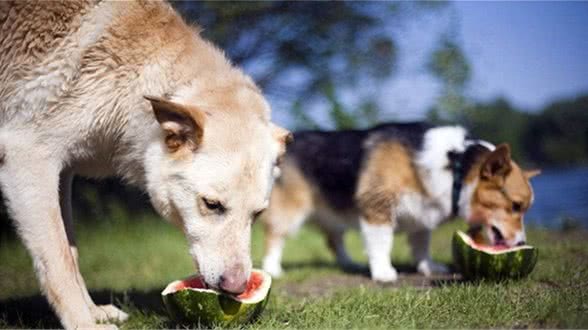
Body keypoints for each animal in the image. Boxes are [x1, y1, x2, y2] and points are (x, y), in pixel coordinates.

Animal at [0, 1, 290, 328]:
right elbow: (58, 260)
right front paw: (83, 322)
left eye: (258, 214)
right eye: (212, 205)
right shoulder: (29, 158)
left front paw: (94, 312)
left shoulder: (63, 172)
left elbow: (71, 253)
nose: (237, 287)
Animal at [264, 122, 540, 282]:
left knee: (334, 240)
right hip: (292, 210)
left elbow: (421, 246)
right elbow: (381, 244)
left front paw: (428, 267)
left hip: (334, 215)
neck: (457, 167)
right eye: (516, 206)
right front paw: (383, 273)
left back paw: (349, 263)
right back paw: (273, 270)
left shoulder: (423, 215)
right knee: (275, 237)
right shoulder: (378, 207)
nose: (522, 243)